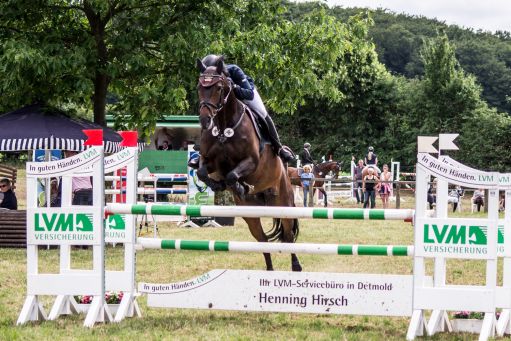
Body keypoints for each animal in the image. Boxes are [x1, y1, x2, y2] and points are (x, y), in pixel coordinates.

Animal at [194, 57, 302, 270]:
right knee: (262, 240)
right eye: (199, 87)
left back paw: (296, 266)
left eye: (218, 88)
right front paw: (220, 185)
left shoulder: (252, 161)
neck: (224, 126)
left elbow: (233, 174)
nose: (205, 120)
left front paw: (239, 185)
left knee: (287, 235)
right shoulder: (210, 162)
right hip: (251, 214)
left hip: (283, 202)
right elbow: (203, 172)